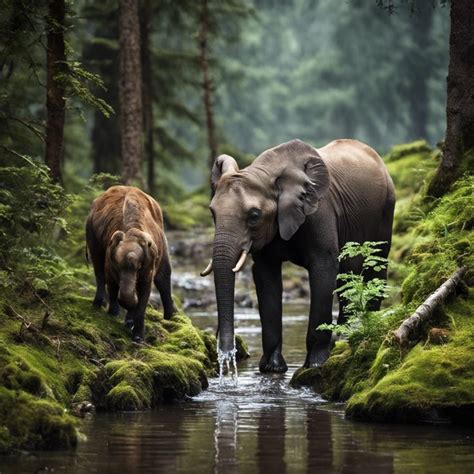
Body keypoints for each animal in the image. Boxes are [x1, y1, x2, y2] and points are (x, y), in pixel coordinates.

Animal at [85, 184, 176, 340]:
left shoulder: (150, 261)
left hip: (162, 237)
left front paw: (138, 337)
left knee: (163, 276)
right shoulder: (110, 256)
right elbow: (111, 281)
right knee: (98, 266)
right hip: (91, 230)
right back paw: (98, 304)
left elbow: (146, 288)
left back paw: (170, 317)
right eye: (118, 265)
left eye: (139, 266)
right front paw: (114, 314)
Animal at [202, 139, 394, 372]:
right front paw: (272, 368)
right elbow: (265, 275)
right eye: (212, 213)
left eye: (254, 216)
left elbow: (324, 269)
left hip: (386, 209)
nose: (228, 356)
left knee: (375, 267)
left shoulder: (320, 211)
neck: (265, 172)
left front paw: (315, 364)